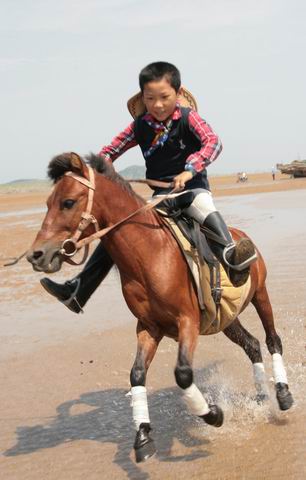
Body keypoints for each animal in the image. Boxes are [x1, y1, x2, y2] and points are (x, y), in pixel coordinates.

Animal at [26, 153, 294, 462]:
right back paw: (261, 396)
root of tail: (240, 235)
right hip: (226, 319)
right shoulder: (149, 327)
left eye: (68, 202)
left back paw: (283, 394)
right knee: (251, 344)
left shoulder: (187, 321)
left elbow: (183, 374)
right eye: (47, 202)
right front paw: (143, 436)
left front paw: (213, 414)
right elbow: (137, 374)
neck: (150, 254)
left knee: (272, 339)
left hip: (260, 293)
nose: (36, 255)